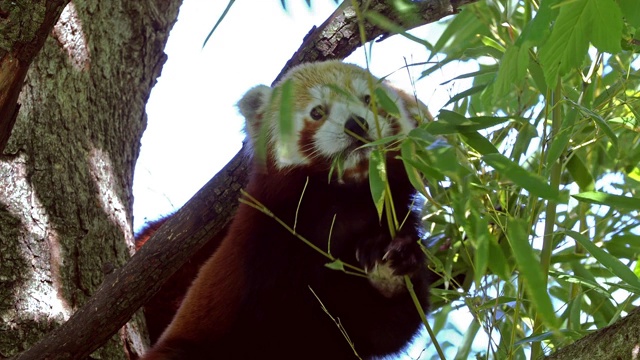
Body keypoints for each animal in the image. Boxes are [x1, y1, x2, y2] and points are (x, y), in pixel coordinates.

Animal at [140, 62, 430, 360]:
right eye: (317, 112)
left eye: (368, 99)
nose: (356, 124)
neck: (343, 203)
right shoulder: (262, 247)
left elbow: (384, 328)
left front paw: (391, 260)